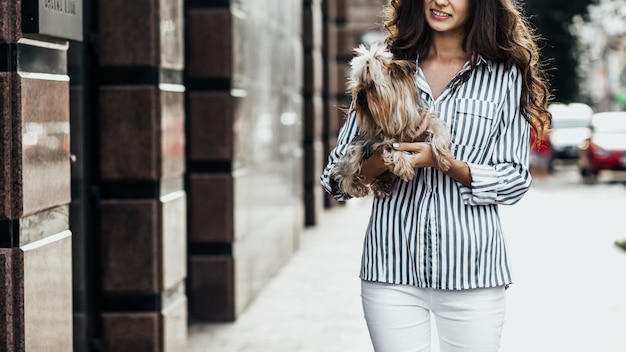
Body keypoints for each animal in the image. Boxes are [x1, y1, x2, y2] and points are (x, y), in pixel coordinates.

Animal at [330, 43, 450, 198]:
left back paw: (384, 183)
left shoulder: (425, 120)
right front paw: (404, 165)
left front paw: (444, 157)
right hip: (356, 148)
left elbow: (439, 131)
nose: (359, 93)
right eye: (359, 84)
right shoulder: (383, 140)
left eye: (371, 87)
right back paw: (357, 186)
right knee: (343, 171)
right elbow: (394, 146)